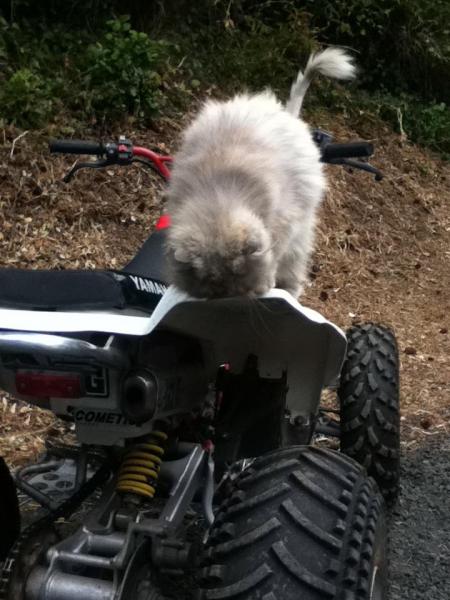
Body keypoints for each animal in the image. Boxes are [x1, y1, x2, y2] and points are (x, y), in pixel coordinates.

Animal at [165, 46, 356, 298]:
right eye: (214, 288)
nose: (229, 296)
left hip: (301, 231)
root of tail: (287, 115)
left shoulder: (285, 221)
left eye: (239, 282)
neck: (217, 196)